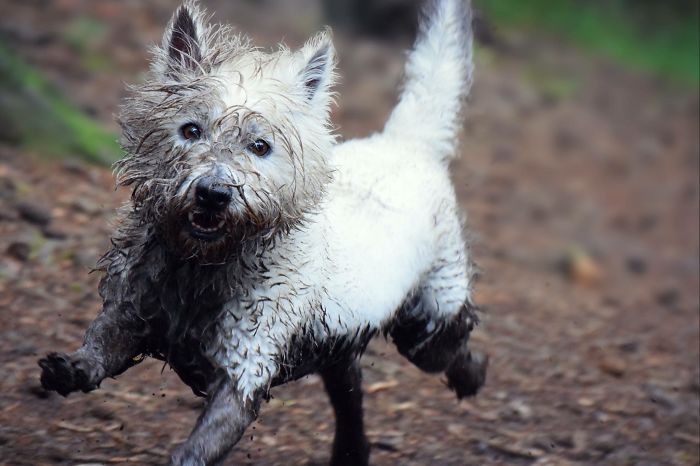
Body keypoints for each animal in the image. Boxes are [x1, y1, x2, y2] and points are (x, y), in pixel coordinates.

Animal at [38, 1, 486, 464]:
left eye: (260, 146)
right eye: (191, 130)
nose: (213, 194)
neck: (202, 266)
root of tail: (407, 144)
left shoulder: (243, 370)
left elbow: (199, 446)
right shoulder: (130, 314)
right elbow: (101, 344)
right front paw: (69, 369)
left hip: (429, 317)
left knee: (452, 348)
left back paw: (472, 377)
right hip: (339, 348)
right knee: (352, 397)